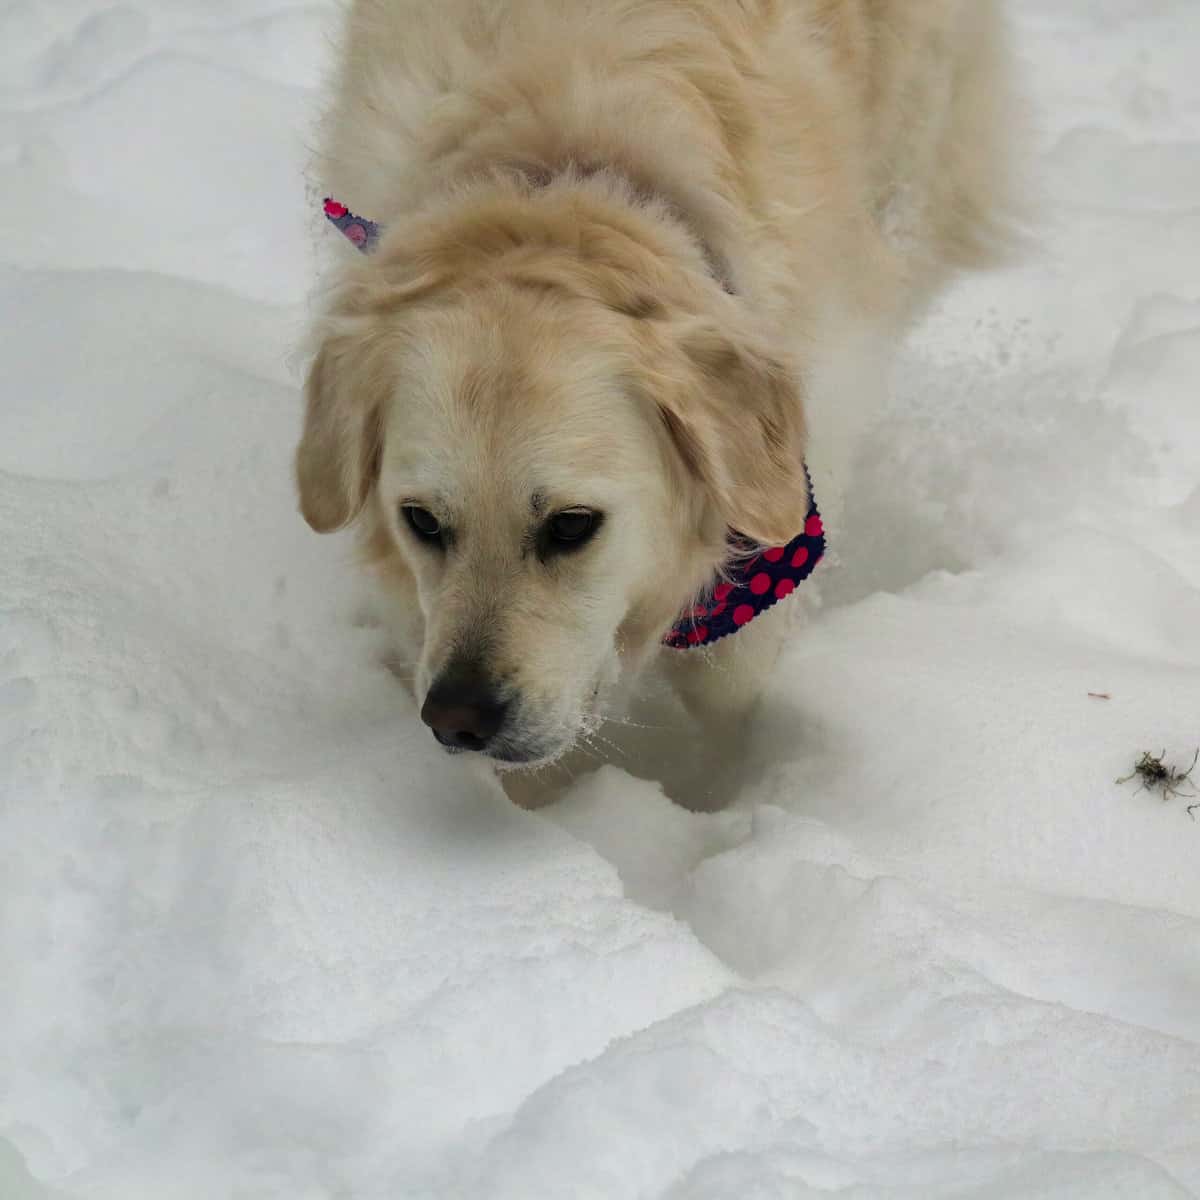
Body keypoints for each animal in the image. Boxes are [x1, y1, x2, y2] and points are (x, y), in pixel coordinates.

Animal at [295, 0, 1017, 792]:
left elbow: (731, 681)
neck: (556, 174)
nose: (458, 720)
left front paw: (719, 798)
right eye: (421, 521)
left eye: (572, 526)